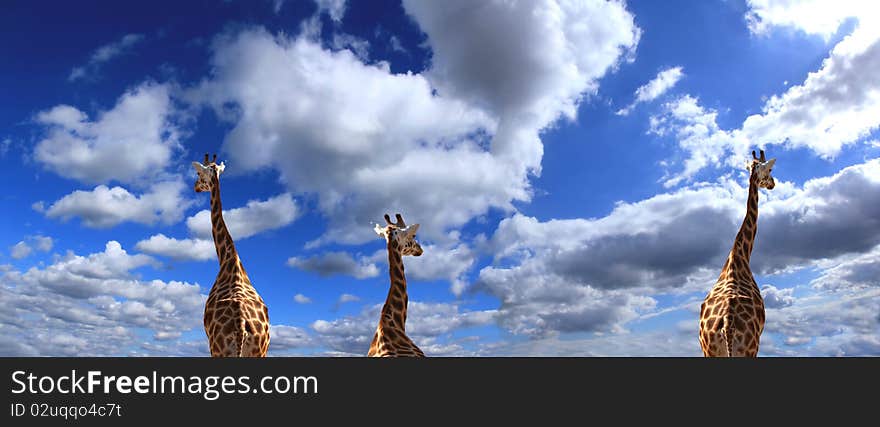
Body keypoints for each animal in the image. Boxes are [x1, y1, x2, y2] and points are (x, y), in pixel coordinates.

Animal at [193, 154, 270, 358]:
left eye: (198, 174)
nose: (195, 187)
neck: (228, 260)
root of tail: (241, 326)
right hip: (259, 351)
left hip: (218, 349)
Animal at [700, 150, 776, 358]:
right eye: (770, 170)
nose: (773, 183)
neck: (739, 255)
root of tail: (727, 325)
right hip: (749, 349)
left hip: (709, 351)